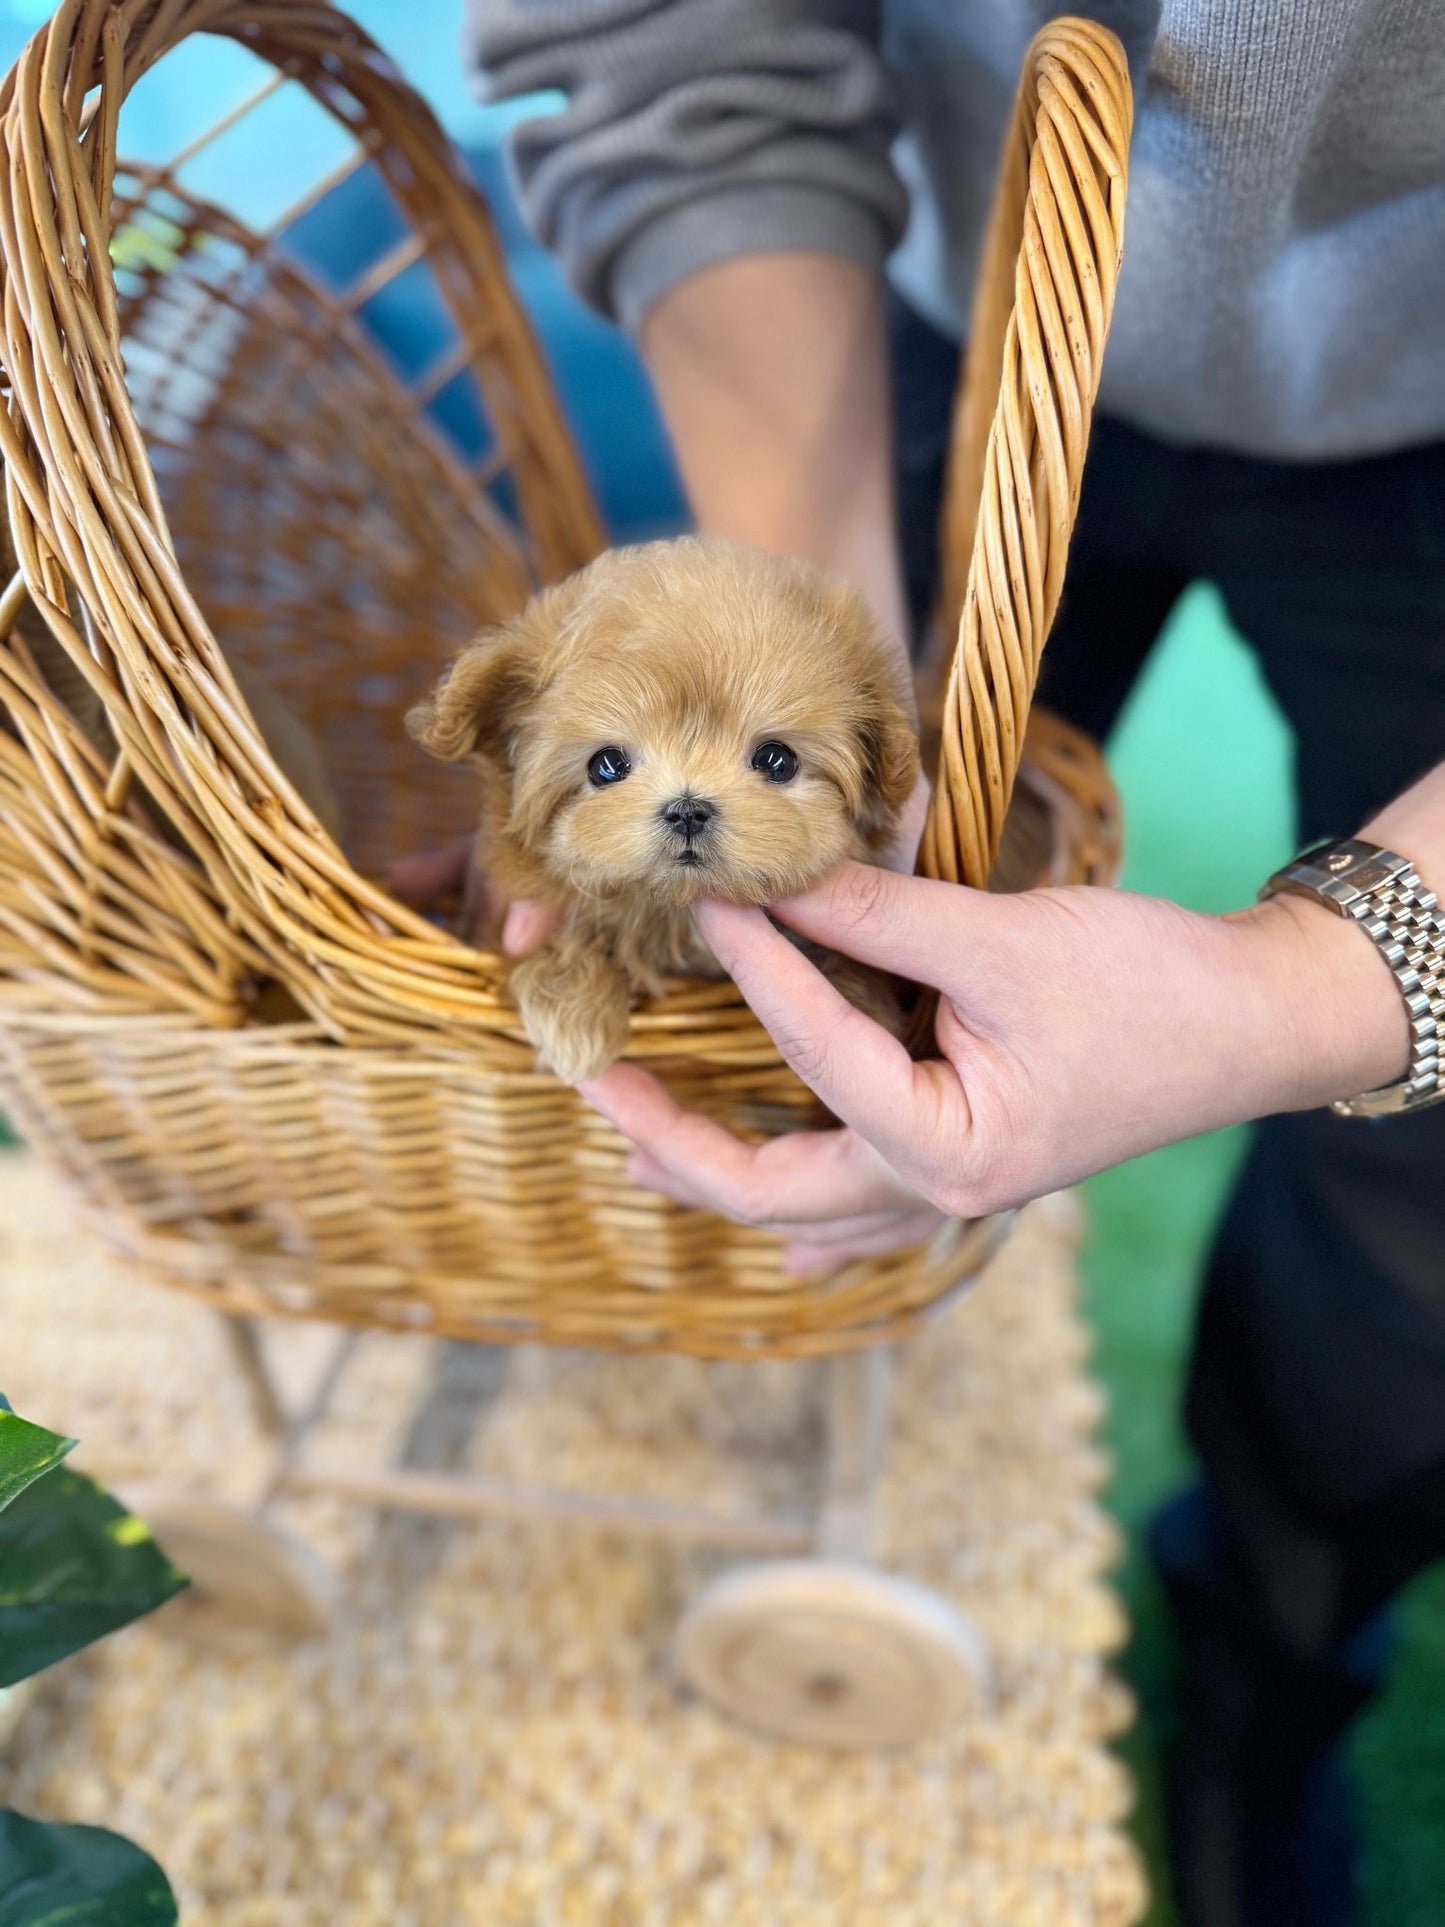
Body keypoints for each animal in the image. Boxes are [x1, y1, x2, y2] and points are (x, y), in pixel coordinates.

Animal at [408, 539, 917, 1086]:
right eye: (607, 765)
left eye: (776, 760)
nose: (687, 810)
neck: (670, 913)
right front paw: (573, 1011)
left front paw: (861, 998)